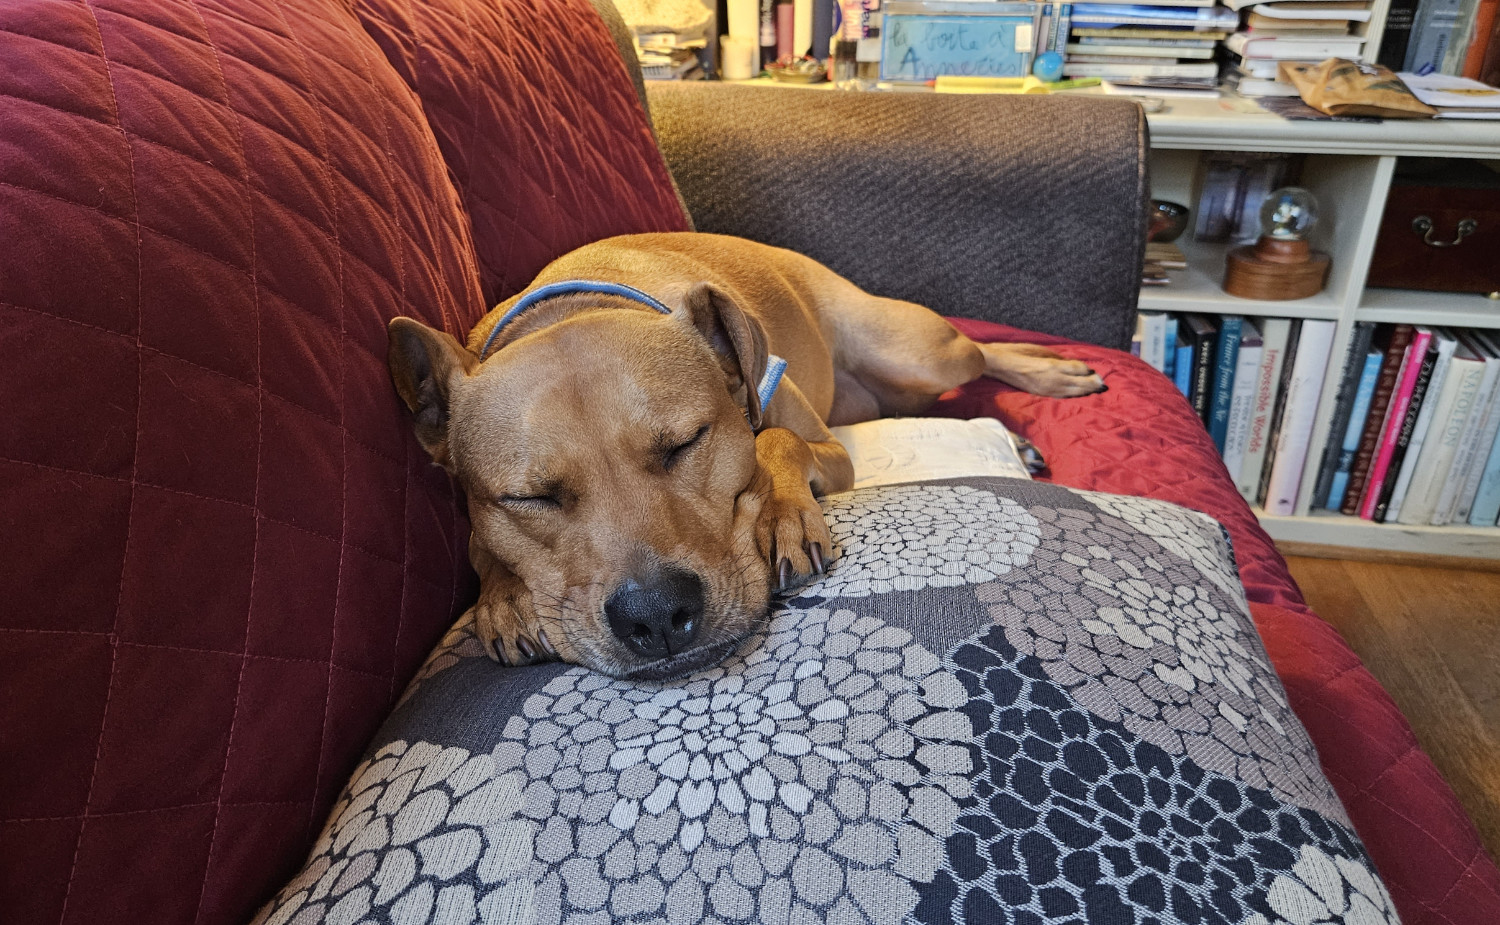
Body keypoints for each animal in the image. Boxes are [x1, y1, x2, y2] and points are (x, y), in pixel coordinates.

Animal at [390, 232, 1104, 677]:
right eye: (529, 497)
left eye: (686, 443)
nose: (655, 614)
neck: (573, 307)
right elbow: (481, 546)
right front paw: (504, 594)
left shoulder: (829, 450)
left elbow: (773, 439)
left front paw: (780, 515)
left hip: (919, 351)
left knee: (983, 352)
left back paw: (1052, 372)